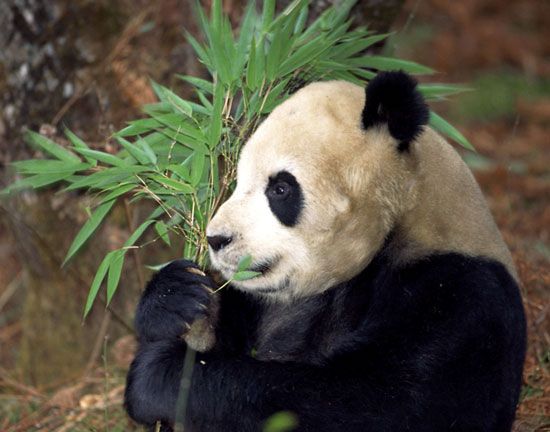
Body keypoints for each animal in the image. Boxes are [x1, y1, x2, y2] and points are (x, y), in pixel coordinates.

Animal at [124, 71, 528, 432]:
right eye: (238, 180)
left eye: (280, 188)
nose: (216, 238)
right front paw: (175, 296)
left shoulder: (458, 294)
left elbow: (384, 405)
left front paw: (160, 375)